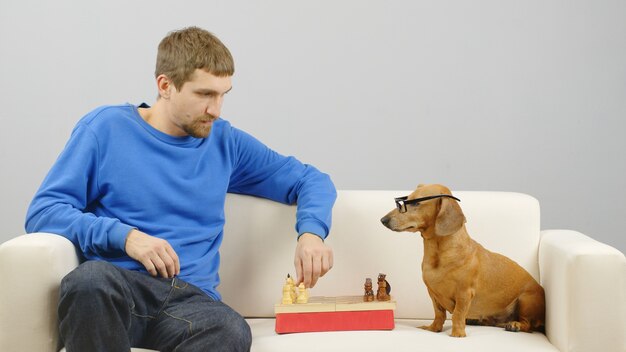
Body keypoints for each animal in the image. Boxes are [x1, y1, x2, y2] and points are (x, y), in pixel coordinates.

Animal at [378, 183, 544, 336]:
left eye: (416, 203)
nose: (383, 220)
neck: (439, 254)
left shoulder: (464, 293)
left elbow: (457, 314)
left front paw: (457, 333)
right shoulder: (433, 294)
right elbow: (439, 314)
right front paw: (433, 328)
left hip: (526, 300)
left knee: (528, 324)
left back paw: (515, 324)